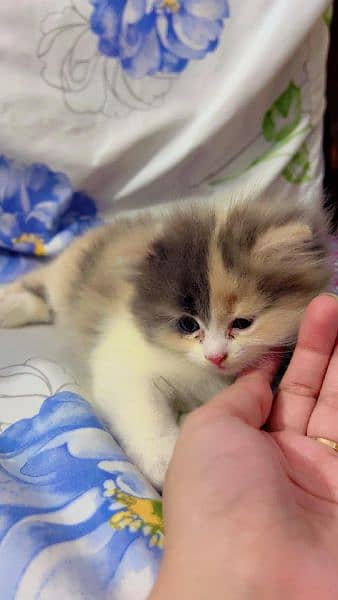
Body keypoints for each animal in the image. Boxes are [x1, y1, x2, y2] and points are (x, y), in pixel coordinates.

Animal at [0, 196, 332, 488]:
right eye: (188, 324)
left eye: (242, 323)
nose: (216, 357)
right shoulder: (121, 361)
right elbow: (144, 408)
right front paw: (165, 459)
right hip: (66, 275)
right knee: (39, 281)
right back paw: (11, 307)